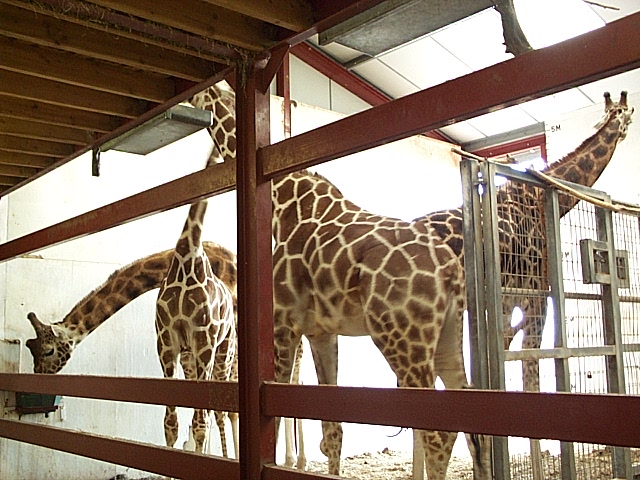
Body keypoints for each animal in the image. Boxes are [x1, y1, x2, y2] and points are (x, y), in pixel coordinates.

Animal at [271, 170, 491, 479]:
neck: (284, 206)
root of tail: (451, 270)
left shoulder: (284, 322)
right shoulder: (321, 332)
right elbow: (332, 430)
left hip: (402, 338)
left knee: (438, 437)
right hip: (448, 337)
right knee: (475, 434)